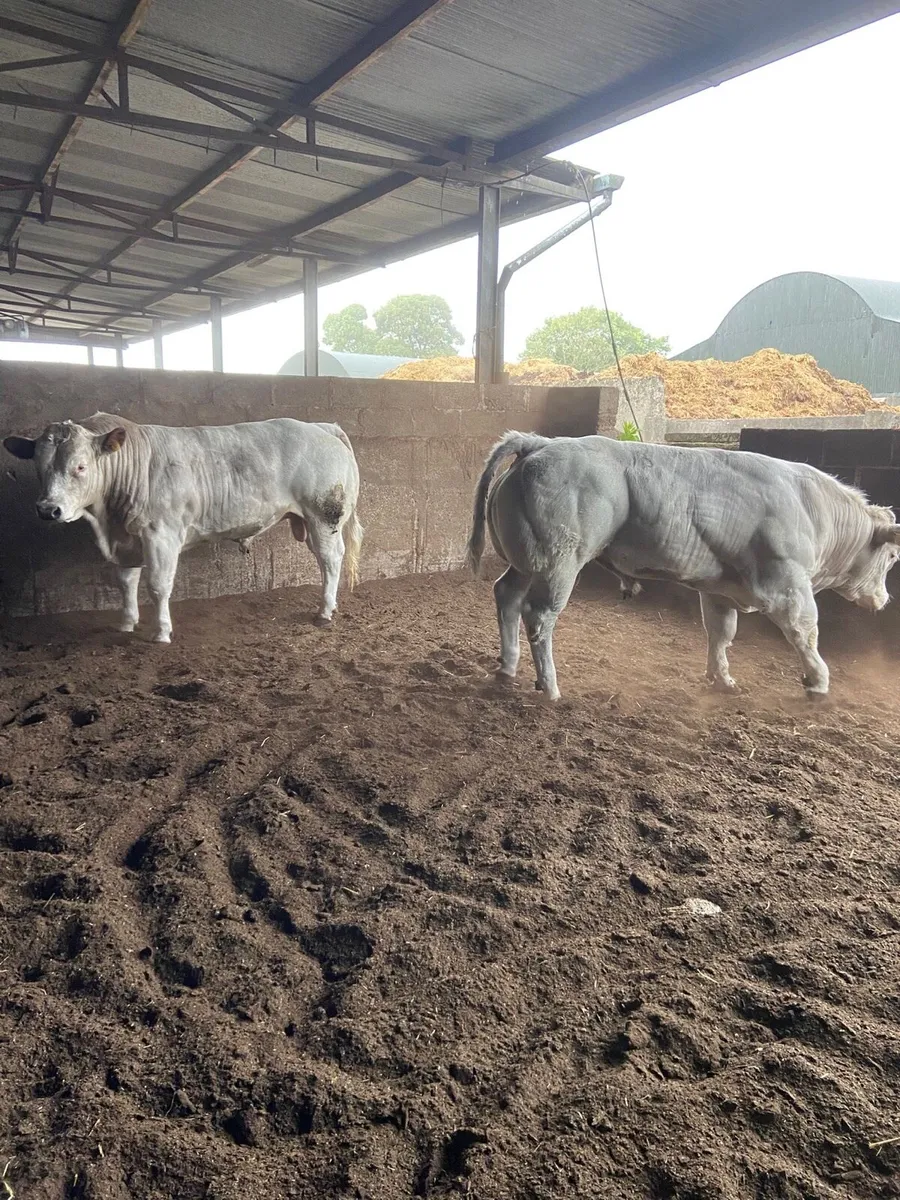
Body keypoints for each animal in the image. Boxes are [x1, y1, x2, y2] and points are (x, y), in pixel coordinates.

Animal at [3, 413, 363, 643]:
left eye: (80, 466)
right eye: (39, 466)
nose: (48, 509)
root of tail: (322, 426)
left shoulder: (161, 534)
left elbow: (158, 585)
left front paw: (161, 631)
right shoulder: (127, 540)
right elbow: (126, 582)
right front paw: (127, 623)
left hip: (324, 516)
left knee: (331, 560)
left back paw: (325, 611)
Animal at [467, 431, 900, 702]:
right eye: (894, 557)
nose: (884, 600)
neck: (812, 508)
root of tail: (540, 443)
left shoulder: (720, 590)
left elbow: (721, 634)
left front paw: (722, 679)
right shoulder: (787, 585)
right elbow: (805, 632)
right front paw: (818, 683)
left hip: (526, 564)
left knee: (506, 597)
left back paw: (507, 668)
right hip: (559, 565)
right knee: (539, 617)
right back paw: (550, 687)